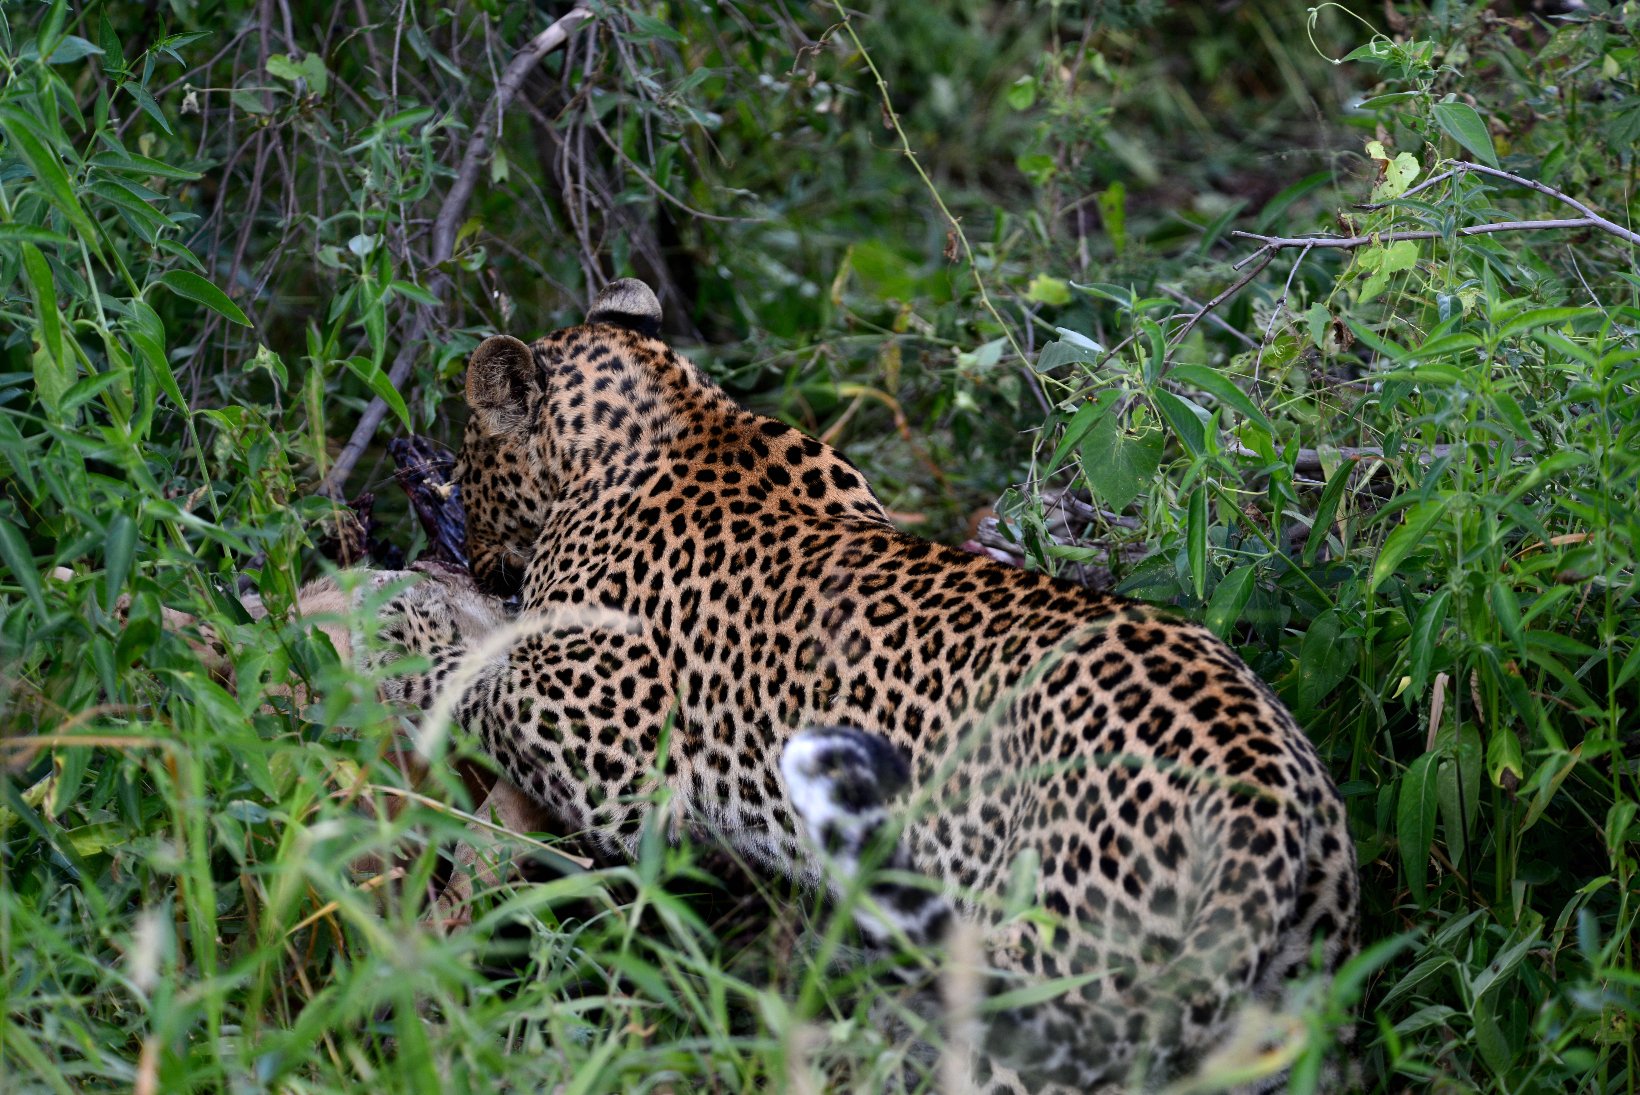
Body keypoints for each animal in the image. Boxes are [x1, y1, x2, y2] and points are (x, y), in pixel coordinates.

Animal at [428, 277, 1359, 1092]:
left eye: (466, 457)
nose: (464, 542)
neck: (675, 418)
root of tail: (1261, 799)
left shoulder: (607, 754)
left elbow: (471, 677)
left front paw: (405, 619)